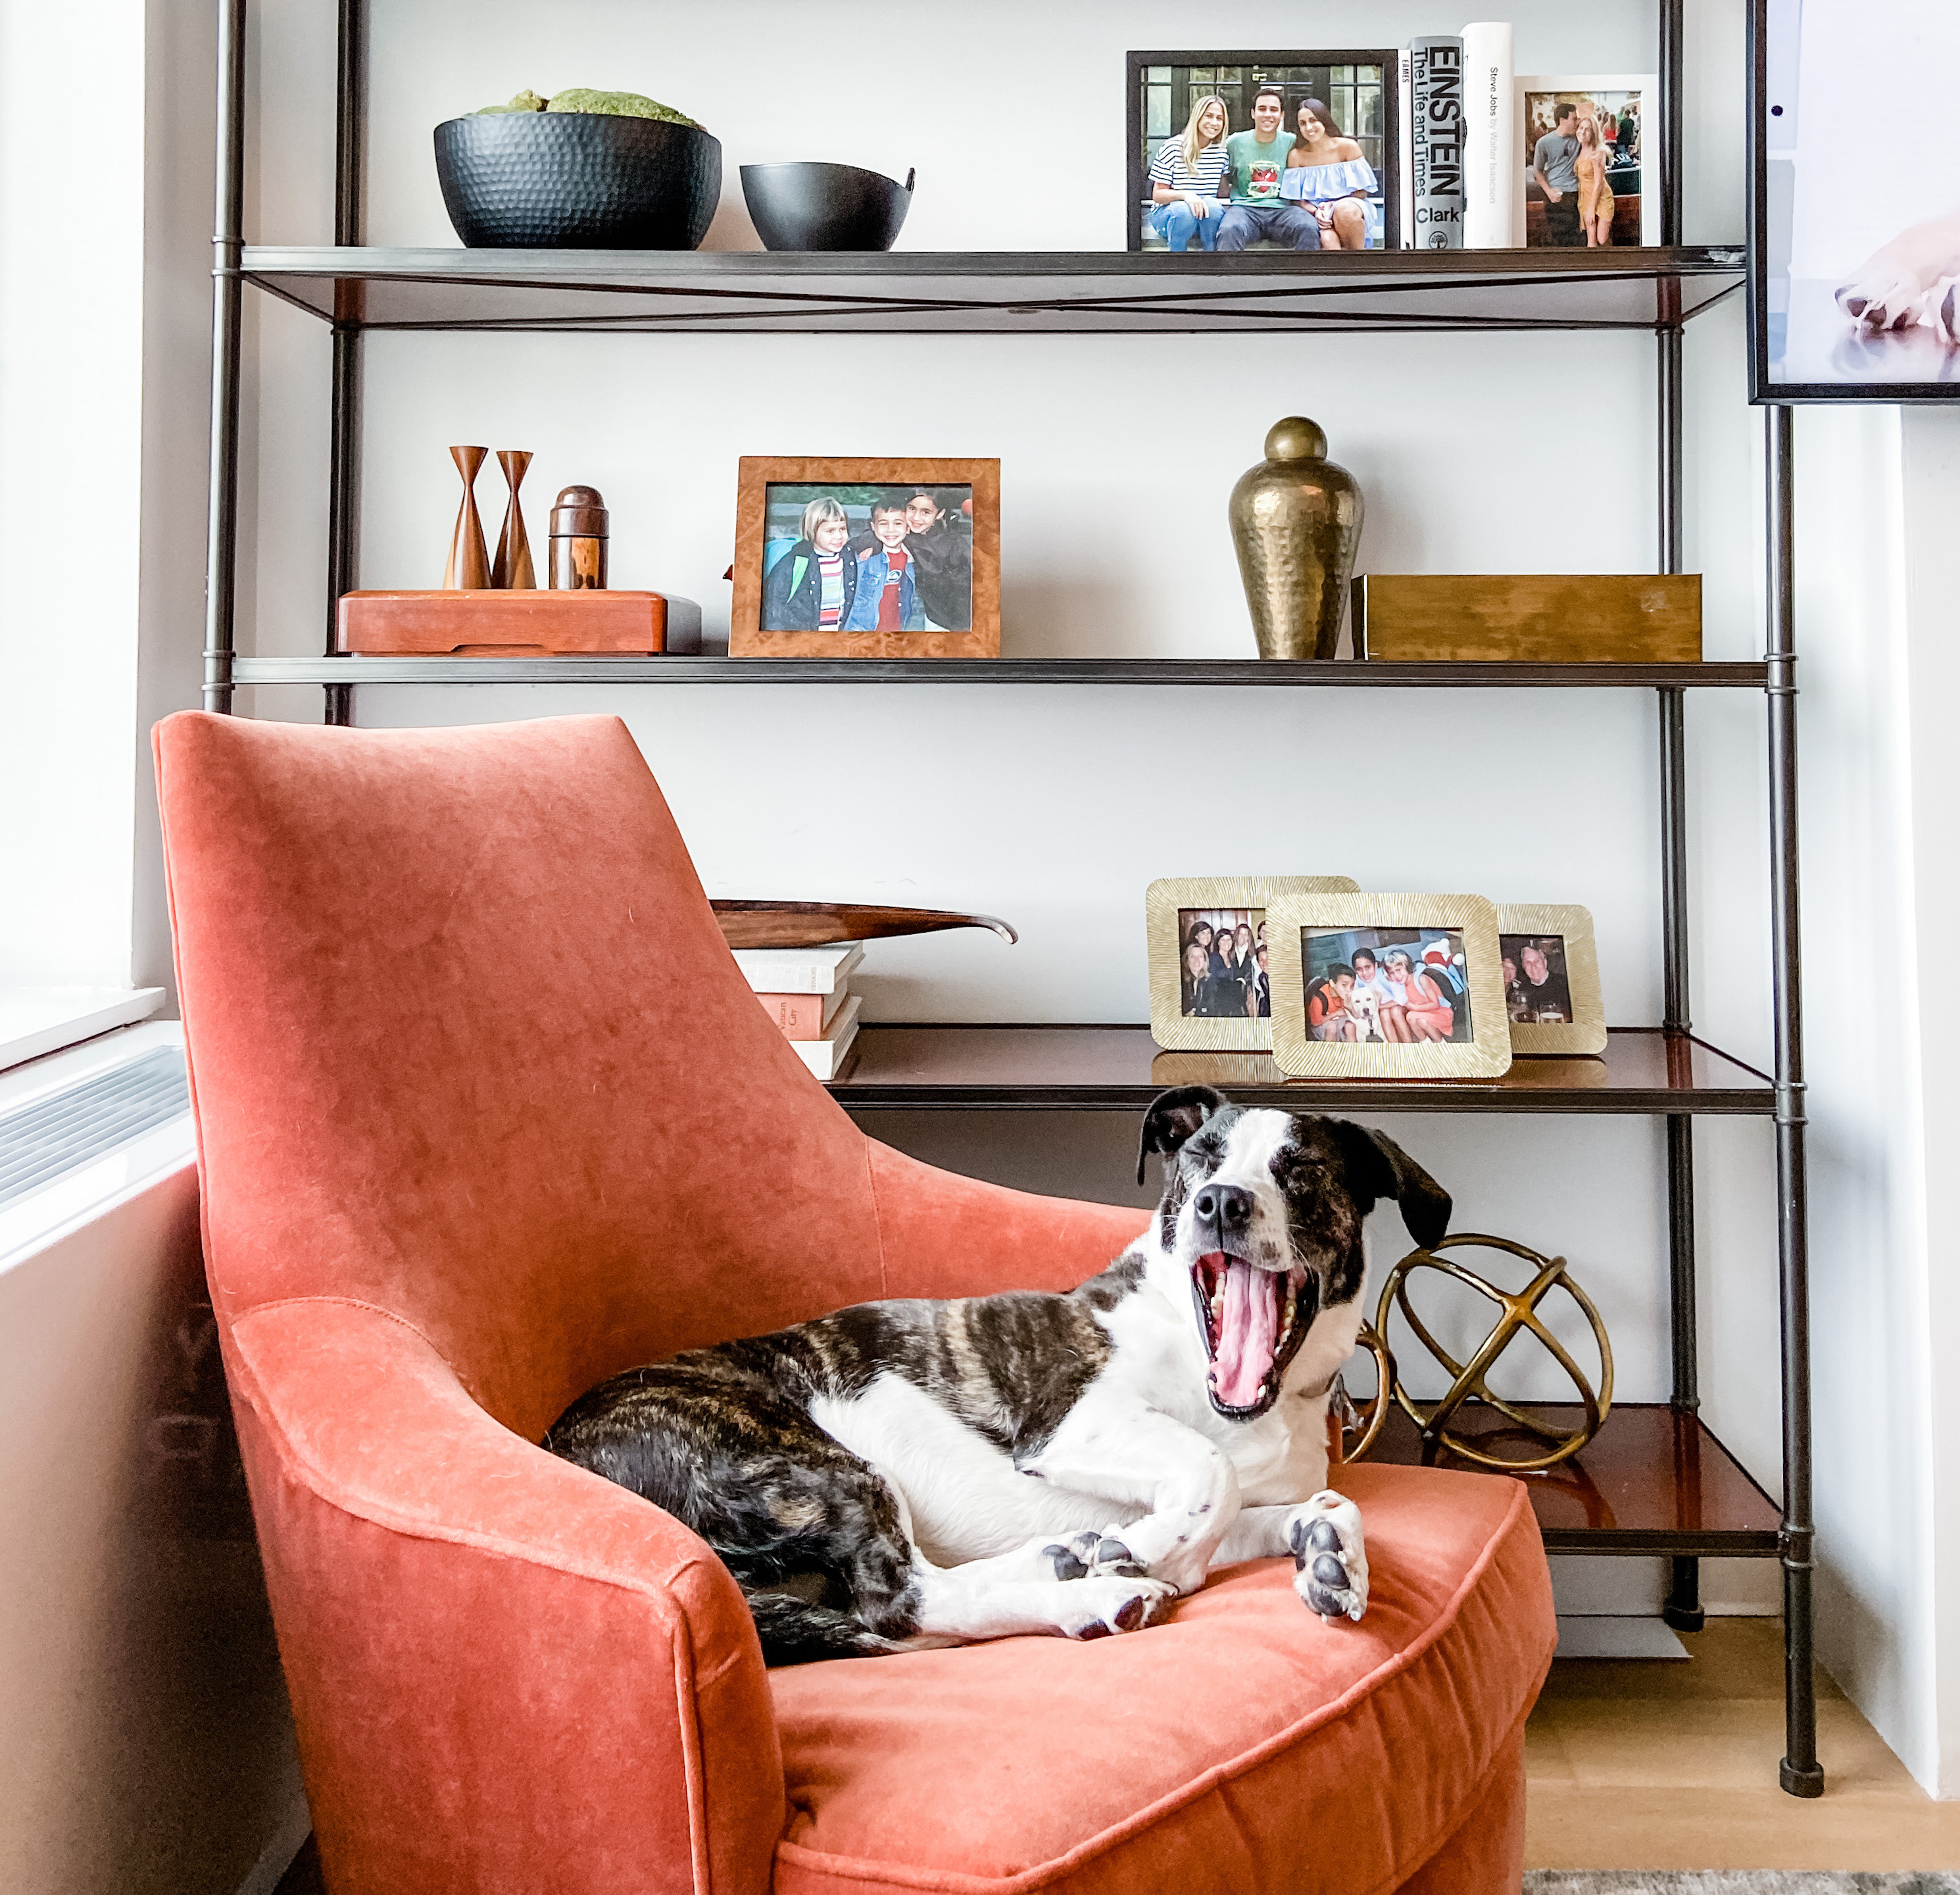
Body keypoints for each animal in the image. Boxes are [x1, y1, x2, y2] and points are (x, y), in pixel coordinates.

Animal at [545, 1089, 1450, 1669]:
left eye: (1301, 1170)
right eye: (1199, 1161)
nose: (1221, 1203)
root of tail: (563, 1445)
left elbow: (1303, 1503)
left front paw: (1328, 1553)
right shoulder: (1070, 1421)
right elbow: (1206, 1473)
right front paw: (1142, 1550)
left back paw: (1070, 1561)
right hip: (812, 1463)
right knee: (898, 1602)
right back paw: (1086, 1593)